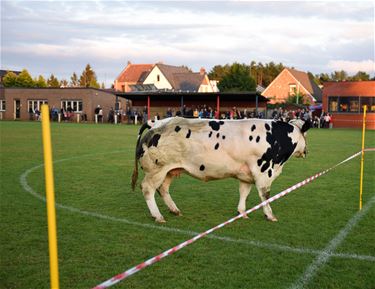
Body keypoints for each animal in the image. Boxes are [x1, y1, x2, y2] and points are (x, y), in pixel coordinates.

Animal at [133, 116, 312, 222]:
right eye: (306, 135)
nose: (306, 151)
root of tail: (155, 122)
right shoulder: (264, 171)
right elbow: (265, 195)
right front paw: (270, 215)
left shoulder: (246, 173)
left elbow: (244, 192)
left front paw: (242, 212)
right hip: (156, 169)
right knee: (148, 188)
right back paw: (158, 215)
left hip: (170, 170)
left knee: (163, 189)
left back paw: (174, 210)